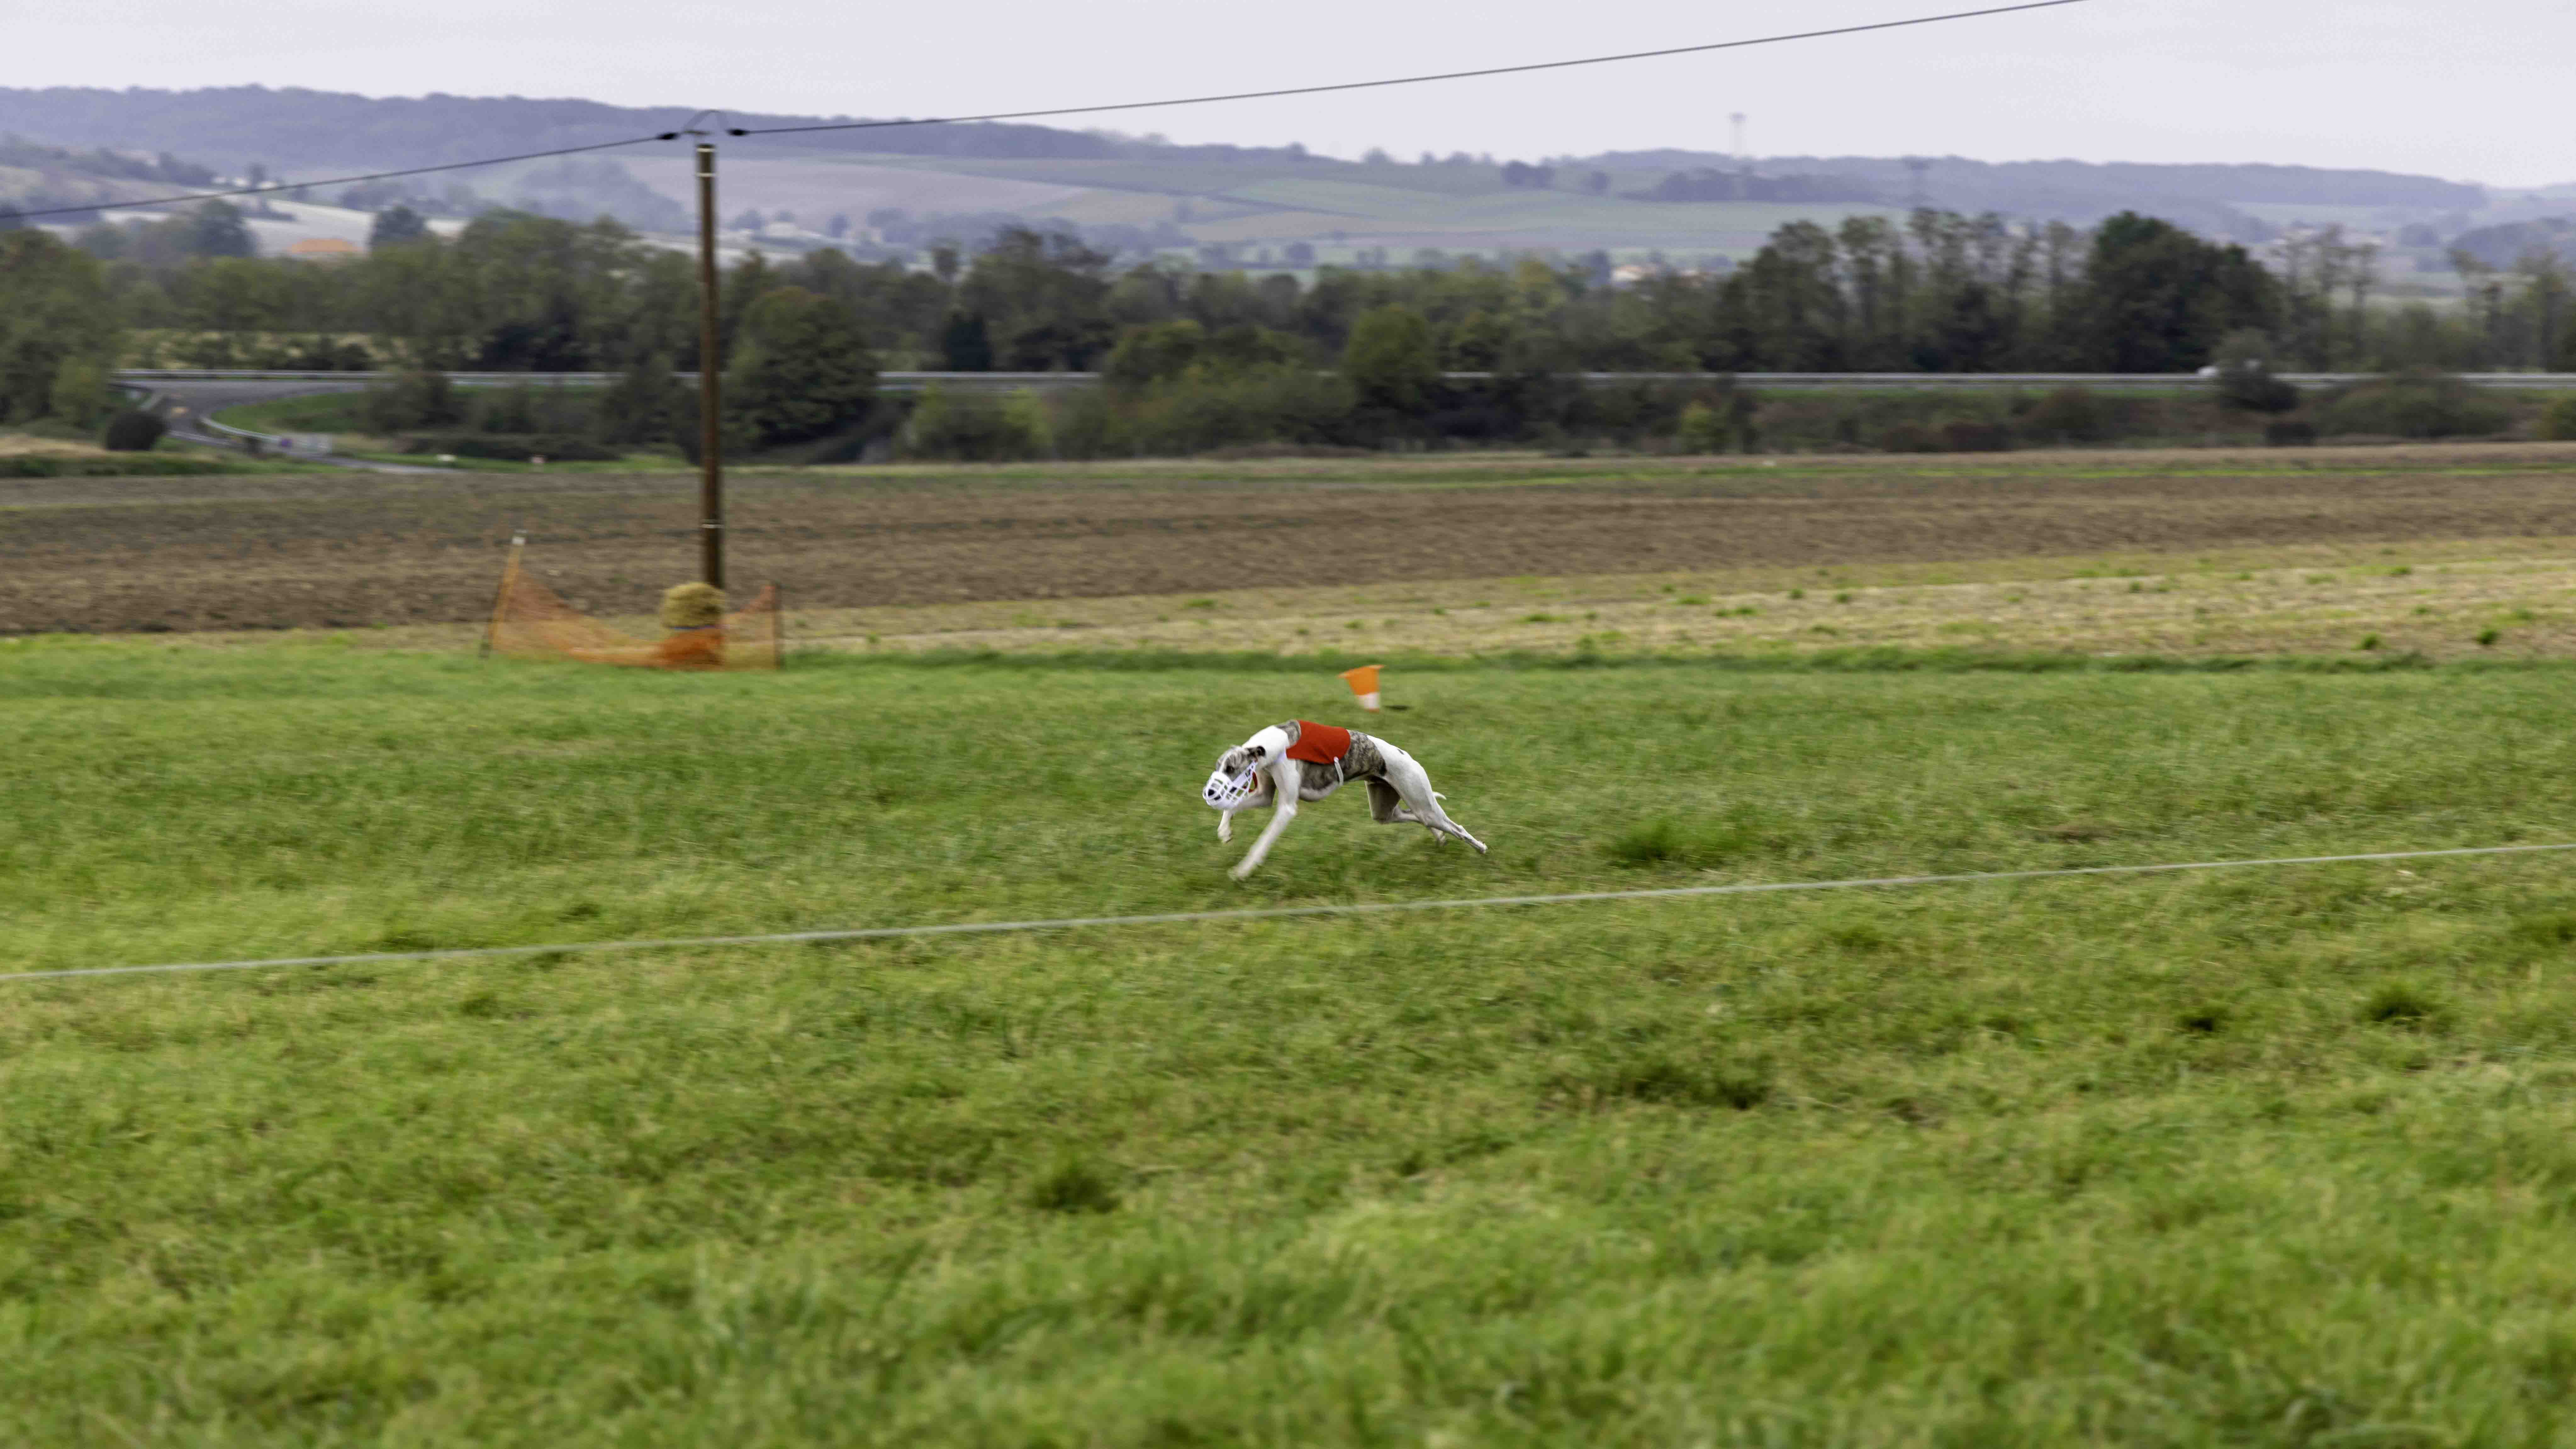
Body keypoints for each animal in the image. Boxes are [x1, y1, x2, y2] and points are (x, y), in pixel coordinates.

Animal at [1195, 720, 1484, 880]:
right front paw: (1225, 832)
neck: (1276, 745)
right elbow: (1234, 806)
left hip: (1420, 800)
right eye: (1218, 767)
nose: (1210, 793)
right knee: (1416, 818)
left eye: (1231, 769)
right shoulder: (1264, 795)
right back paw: (1440, 838)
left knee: (1455, 827)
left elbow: (1262, 842)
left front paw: (1242, 872)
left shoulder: (1286, 808)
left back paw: (1480, 848)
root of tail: (1409, 757)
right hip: (1386, 810)